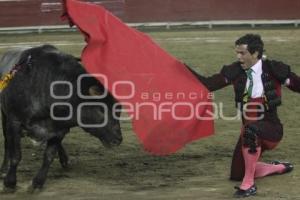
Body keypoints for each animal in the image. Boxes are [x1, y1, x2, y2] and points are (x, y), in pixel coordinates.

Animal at [0, 44, 123, 190]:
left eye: (118, 110)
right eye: (101, 110)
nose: (118, 139)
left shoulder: (59, 129)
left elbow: (48, 156)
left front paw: (38, 182)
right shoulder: (15, 121)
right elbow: (16, 154)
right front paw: (10, 181)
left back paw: (66, 161)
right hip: (4, 115)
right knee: (7, 141)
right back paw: (3, 169)